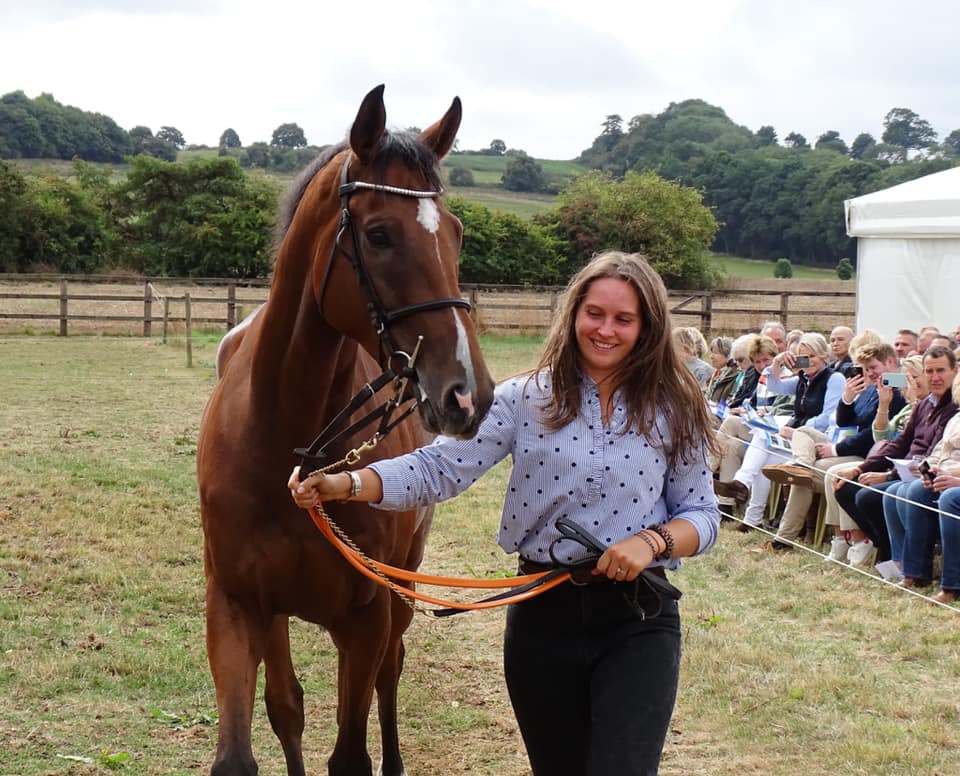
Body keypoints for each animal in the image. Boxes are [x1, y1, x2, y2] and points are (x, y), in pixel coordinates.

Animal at [195, 86, 496, 776]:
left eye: (457, 235)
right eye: (379, 234)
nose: (468, 393)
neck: (283, 438)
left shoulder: (366, 615)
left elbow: (352, 749)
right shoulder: (238, 607)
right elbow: (262, 731)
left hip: (401, 588)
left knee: (391, 672)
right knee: (289, 704)